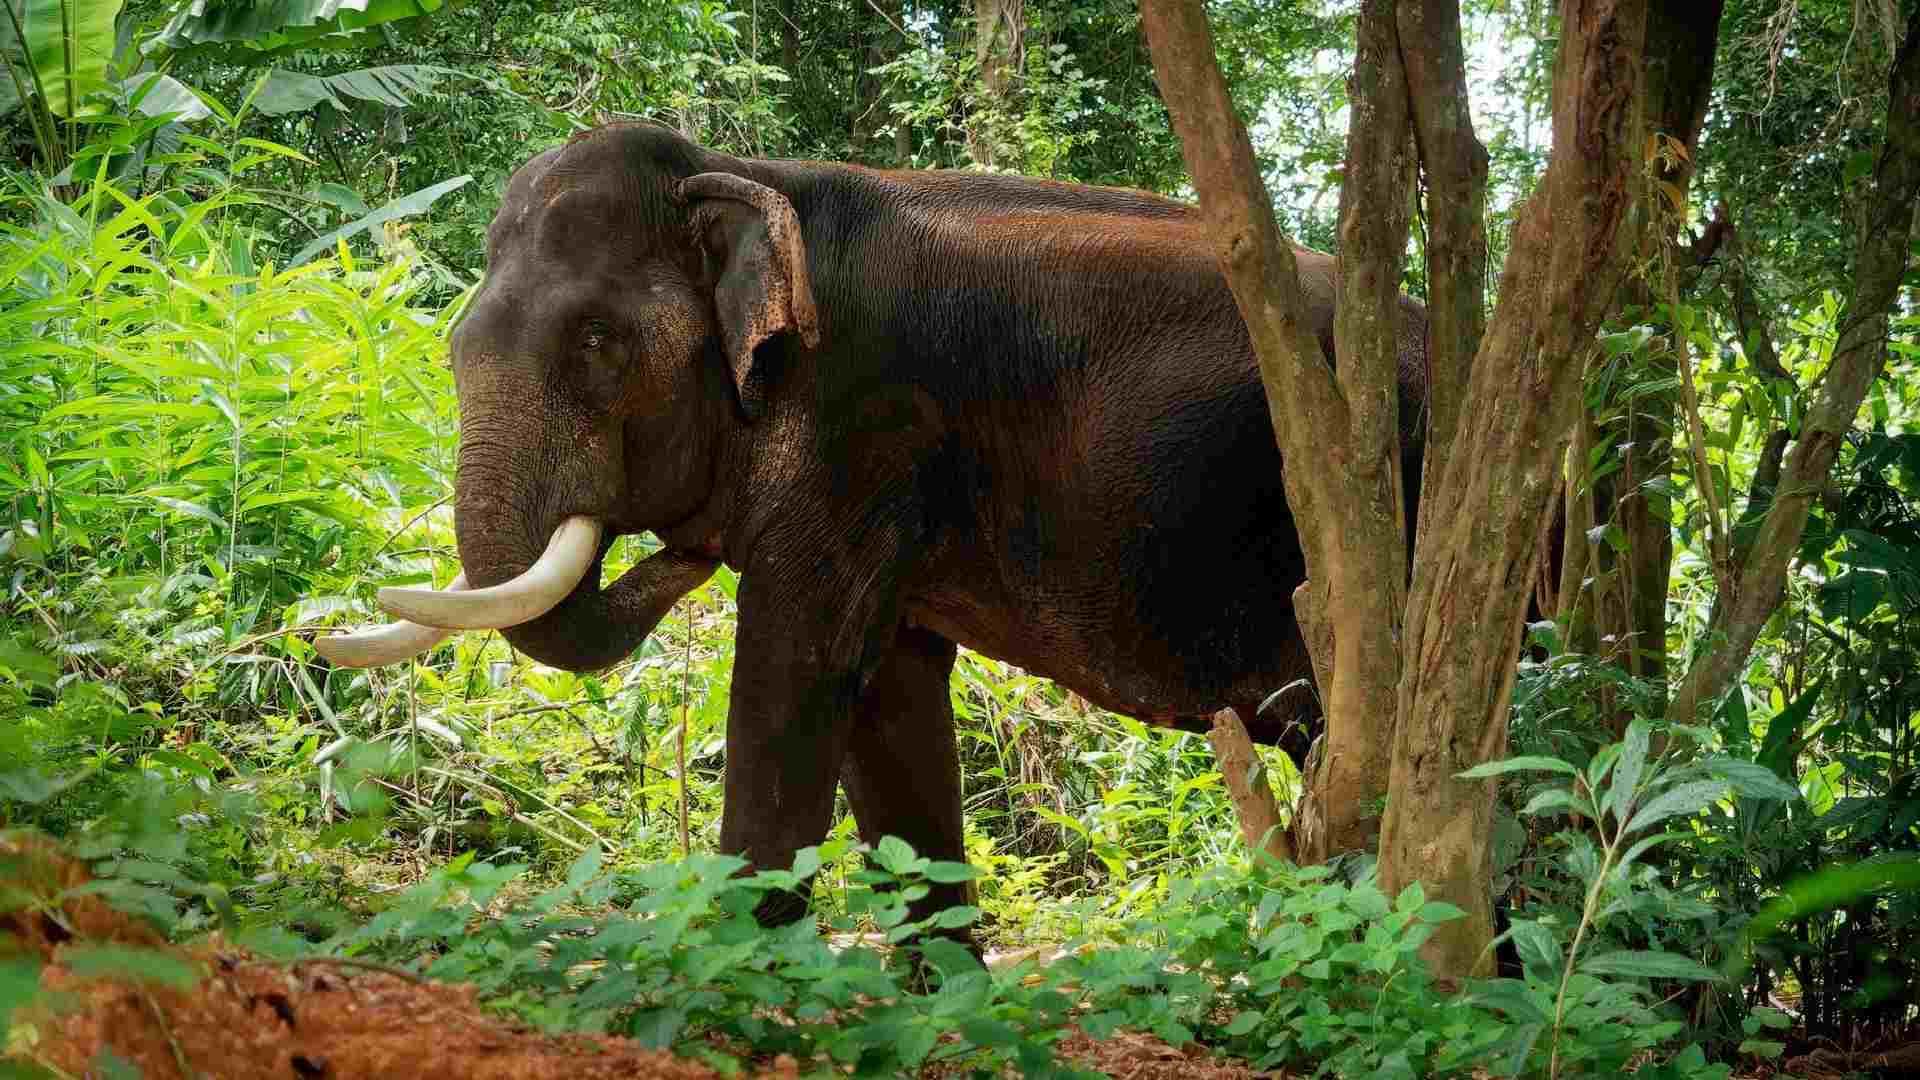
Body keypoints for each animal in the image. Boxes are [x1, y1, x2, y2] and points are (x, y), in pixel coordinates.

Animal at [316, 122, 1430, 938]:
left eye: (597, 343)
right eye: (455, 343)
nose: (676, 548)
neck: (749, 175)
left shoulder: (867, 428)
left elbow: (795, 672)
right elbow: (888, 702)